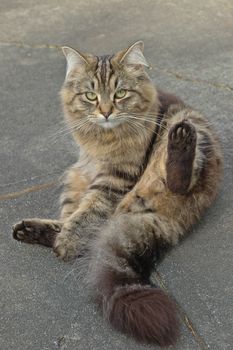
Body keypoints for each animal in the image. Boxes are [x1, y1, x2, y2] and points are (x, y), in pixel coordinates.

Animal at [12, 41, 222, 348]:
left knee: (178, 180)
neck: (103, 140)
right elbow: (77, 216)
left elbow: (88, 213)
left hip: (191, 136)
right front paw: (63, 238)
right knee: (78, 227)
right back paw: (31, 231)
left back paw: (181, 141)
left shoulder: (115, 178)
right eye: (90, 96)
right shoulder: (87, 173)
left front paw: (67, 244)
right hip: (74, 178)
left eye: (120, 93)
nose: (106, 112)